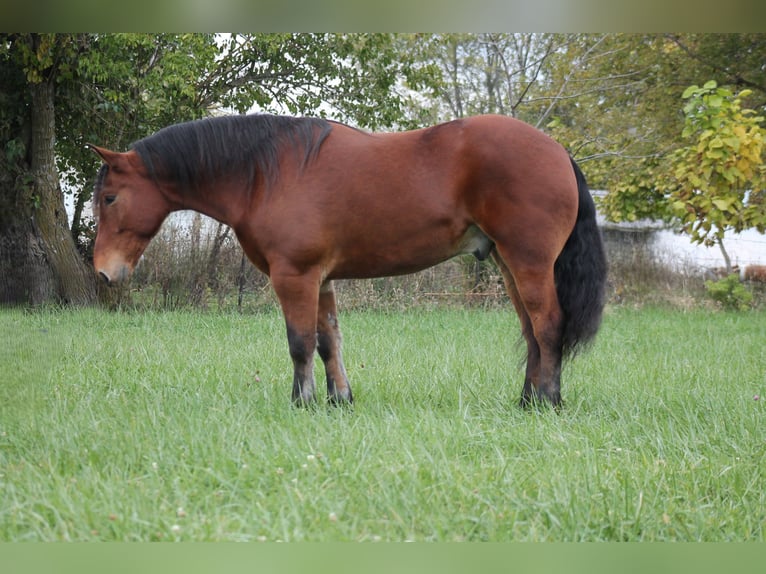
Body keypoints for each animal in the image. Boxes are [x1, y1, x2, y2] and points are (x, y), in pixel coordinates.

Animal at [88, 113, 607, 408]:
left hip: (528, 262)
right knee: (531, 332)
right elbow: (327, 342)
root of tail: (558, 151)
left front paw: (302, 402)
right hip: (507, 264)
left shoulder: (294, 276)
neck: (266, 174)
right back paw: (527, 399)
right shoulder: (320, 280)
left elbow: (299, 343)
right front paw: (340, 399)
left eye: (110, 197)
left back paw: (548, 401)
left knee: (548, 326)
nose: (104, 272)